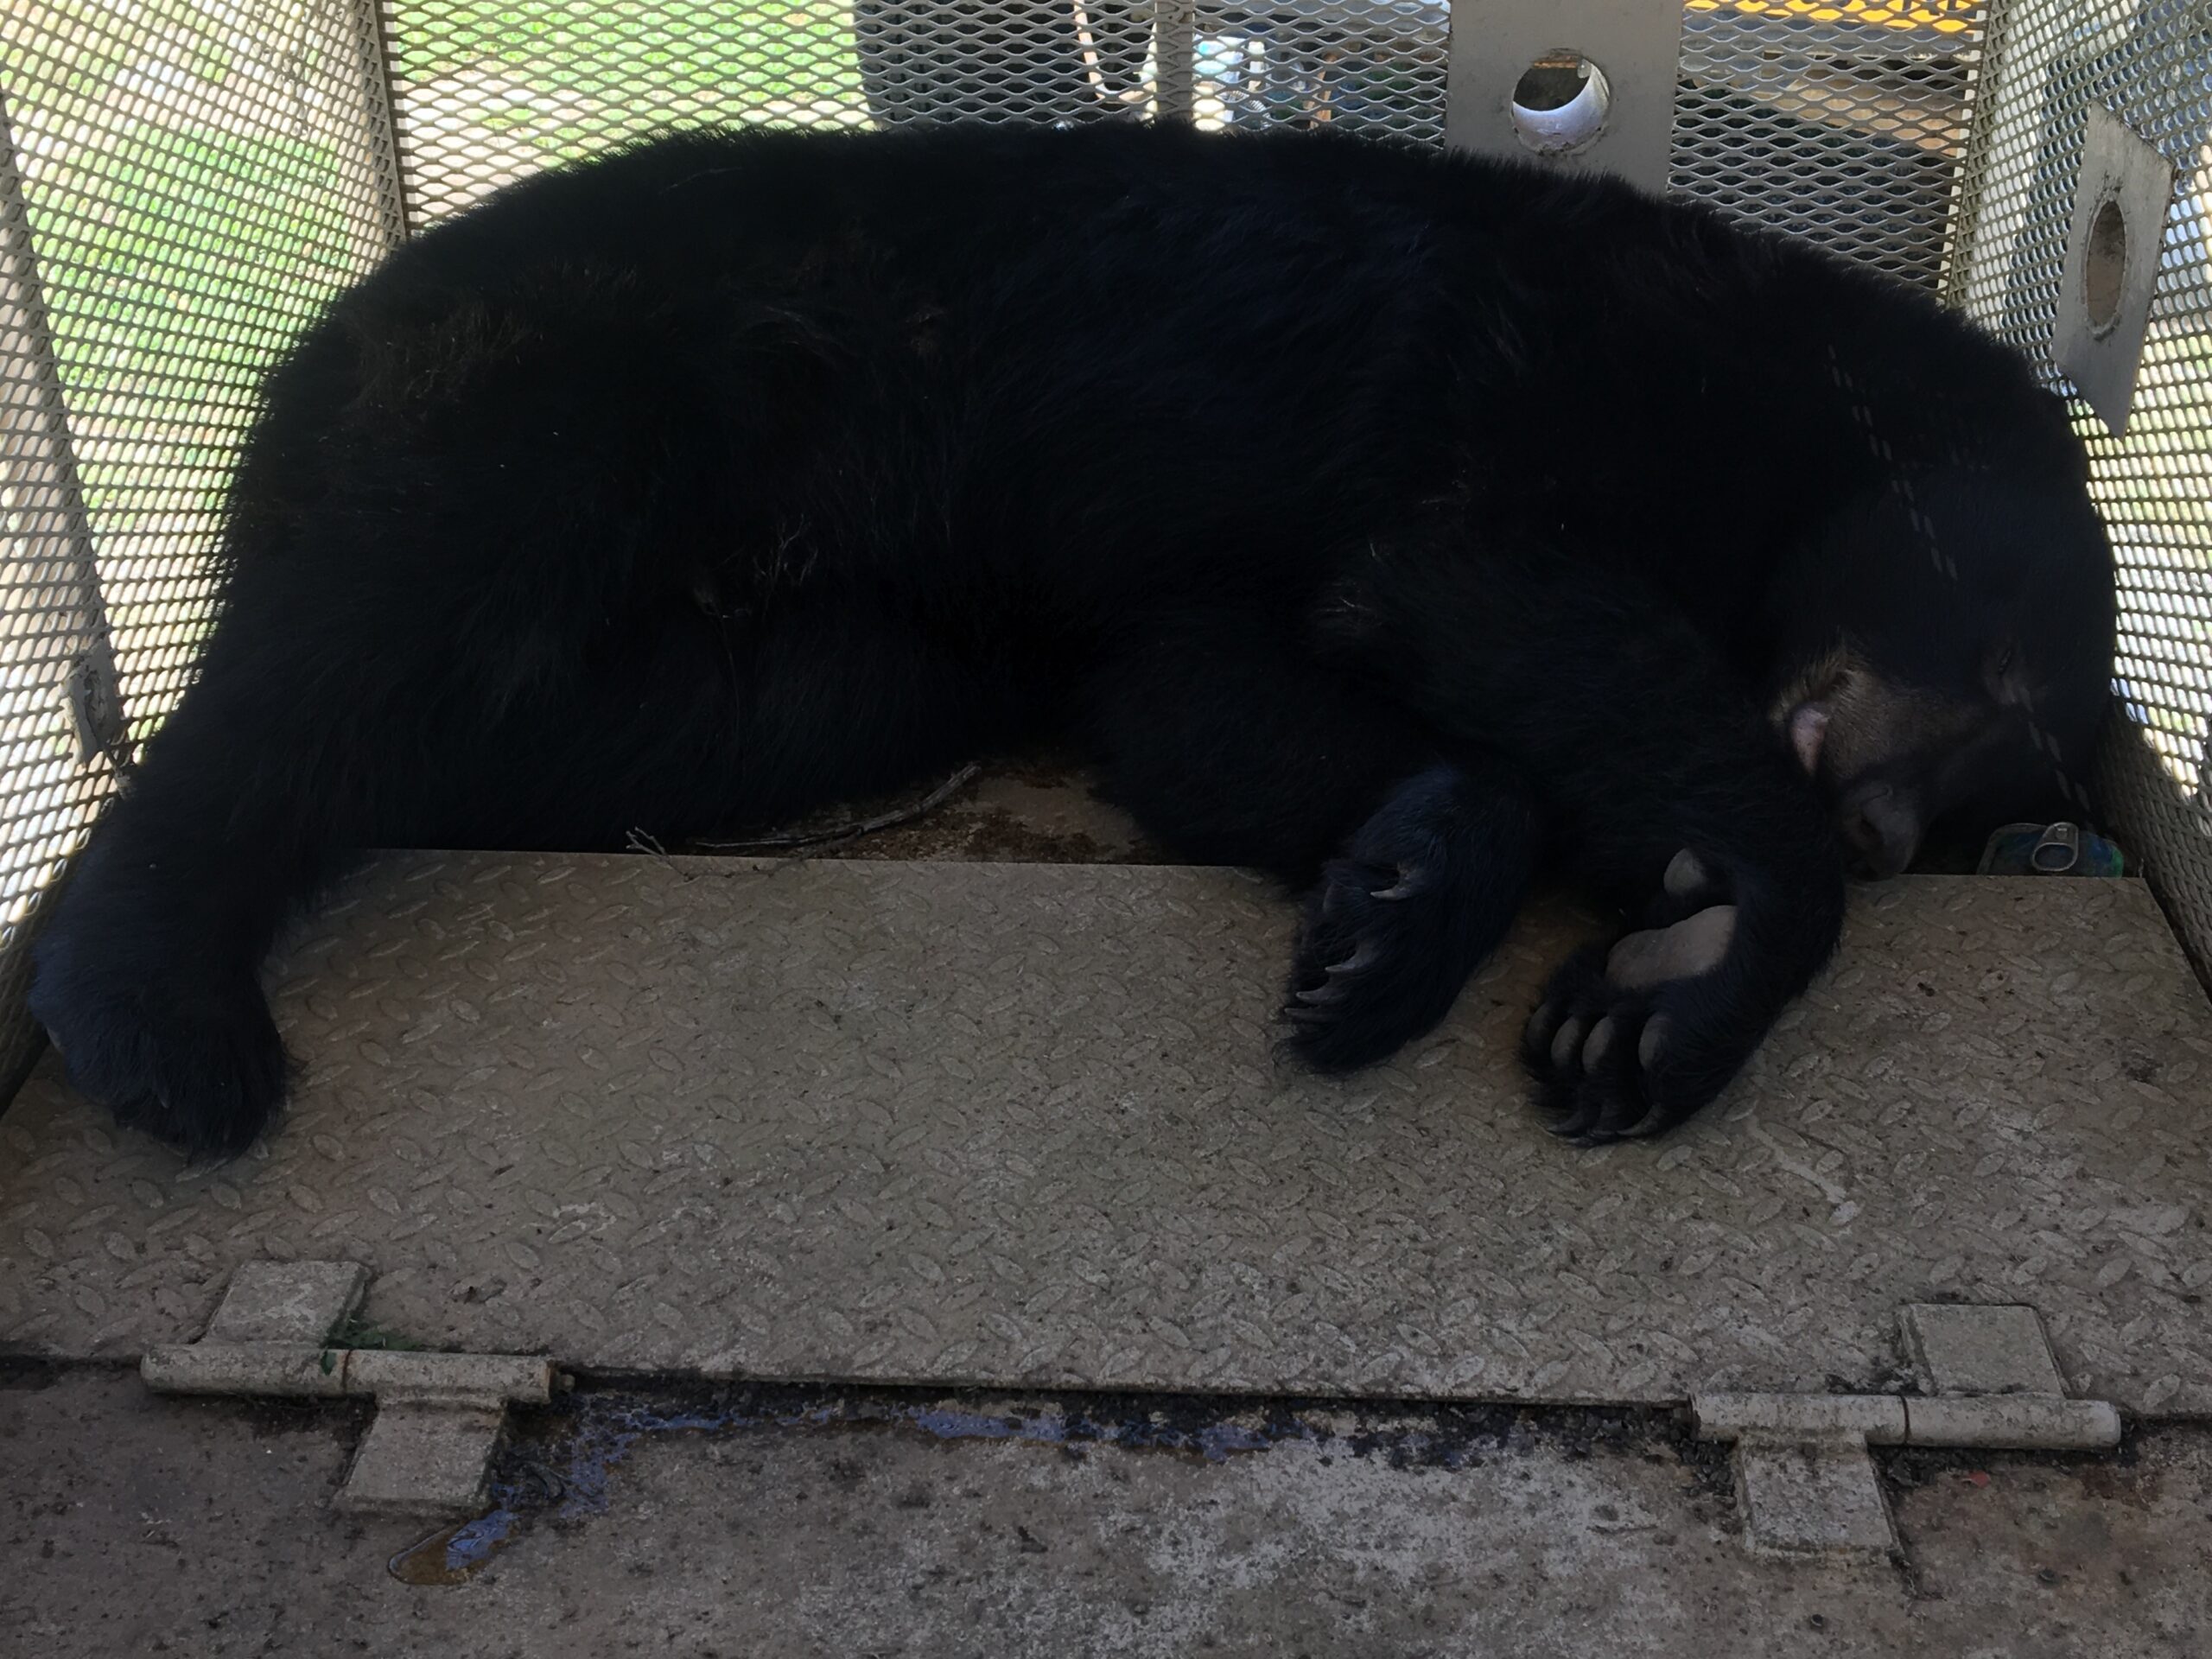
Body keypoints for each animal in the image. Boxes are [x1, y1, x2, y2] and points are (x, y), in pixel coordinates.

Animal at [25, 120, 2118, 1156]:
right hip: (554, 396)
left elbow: (1204, 700)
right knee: (333, 663)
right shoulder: (1529, 396)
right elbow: (1474, 581)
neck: (1783, 406)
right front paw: (1694, 957)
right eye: (2002, 677)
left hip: (832, 664)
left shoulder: (1164, 603)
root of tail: (302, 339)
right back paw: (146, 999)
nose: (1880, 833)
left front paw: (1400, 898)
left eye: (2003, 784)